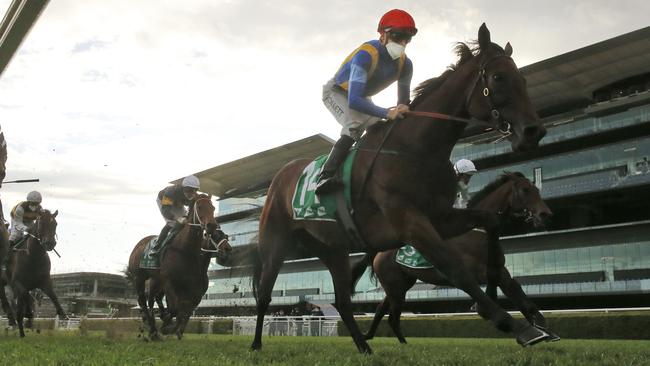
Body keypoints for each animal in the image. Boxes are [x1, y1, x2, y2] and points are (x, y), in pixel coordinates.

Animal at [6, 209, 67, 338]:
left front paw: (62, 313)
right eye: (41, 223)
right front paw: (29, 313)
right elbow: (26, 295)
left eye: (55, 224)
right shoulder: (17, 283)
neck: (34, 257)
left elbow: (52, 295)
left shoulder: (44, 281)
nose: (50, 243)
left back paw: (22, 333)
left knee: (19, 312)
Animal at [125, 194, 229, 340]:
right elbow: (175, 309)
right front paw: (167, 327)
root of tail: (140, 244)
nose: (212, 225)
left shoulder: (194, 291)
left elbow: (185, 311)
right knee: (144, 302)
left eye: (213, 208)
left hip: (156, 281)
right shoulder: (170, 282)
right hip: (139, 277)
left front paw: (174, 329)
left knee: (153, 301)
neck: (185, 250)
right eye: (200, 207)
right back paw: (152, 329)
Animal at [362, 172, 560, 344]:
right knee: (392, 315)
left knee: (382, 310)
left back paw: (379, 337)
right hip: (395, 286)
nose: (546, 214)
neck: (476, 232)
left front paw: (544, 329)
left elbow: (521, 298)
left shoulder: (501, 273)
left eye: (537, 189)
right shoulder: (472, 273)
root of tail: (380, 252)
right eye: (525, 190)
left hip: (402, 284)